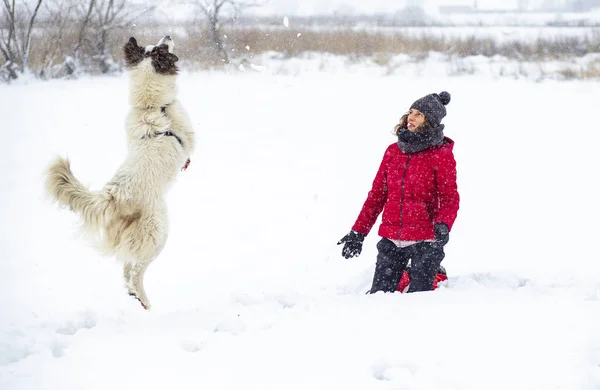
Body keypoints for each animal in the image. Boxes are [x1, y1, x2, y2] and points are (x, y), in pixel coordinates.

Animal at [47, 37, 197, 310]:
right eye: (160, 47)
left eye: (154, 45)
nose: (168, 36)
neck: (153, 105)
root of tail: (113, 195)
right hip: (157, 231)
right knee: (135, 268)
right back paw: (143, 298)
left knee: (126, 269)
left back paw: (134, 296)